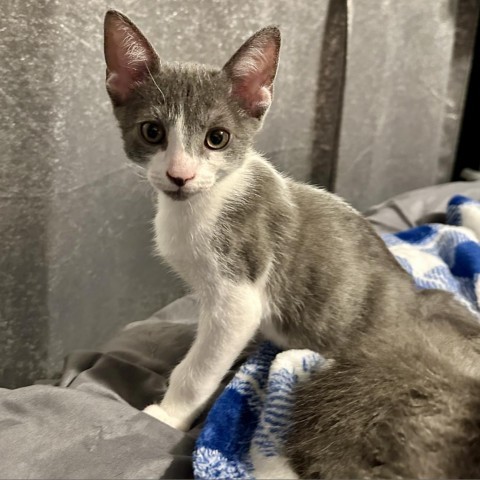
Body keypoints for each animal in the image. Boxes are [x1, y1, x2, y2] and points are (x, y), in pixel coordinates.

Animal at [105, 11, 480, 480]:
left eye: (217, 138)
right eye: (152, 131)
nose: (180, 175)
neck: (200, 205)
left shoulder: (239, 286)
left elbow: (201, 364)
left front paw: (168, 413)